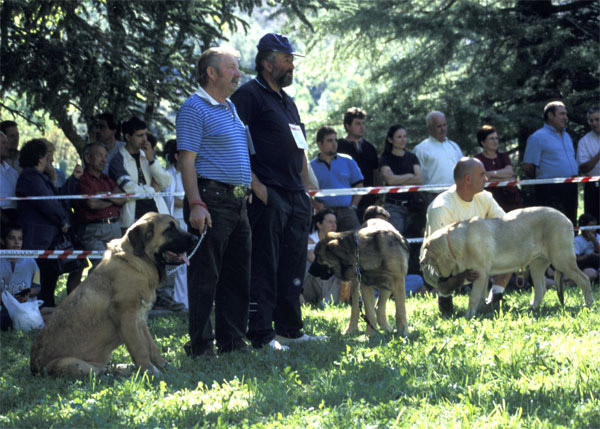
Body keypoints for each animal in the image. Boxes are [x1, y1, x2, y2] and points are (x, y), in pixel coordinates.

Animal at [29, 212, 197, 376]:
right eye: (170, 229)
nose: (196, 239)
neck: (137, 263)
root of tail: (34, 367)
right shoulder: (127, 318)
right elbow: (139, 348)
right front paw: (150, 371)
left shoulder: (141, 320)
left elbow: (151, 347)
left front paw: (164, 367)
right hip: (73, 364)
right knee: (97, 372)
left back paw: (124, 368)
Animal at [422, 206, 596, 316]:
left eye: (433, 264)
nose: (434, 277)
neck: (458, 243)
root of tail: (567, 219)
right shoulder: (483, 275)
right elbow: (480, 295)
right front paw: (481, 310)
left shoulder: (481, 273)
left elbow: (474, 296)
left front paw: (469, 315)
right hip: (537, 264)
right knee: (541, 288)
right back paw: (532, 309)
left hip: (562, 260)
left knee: (584, 279)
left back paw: (588, 304)